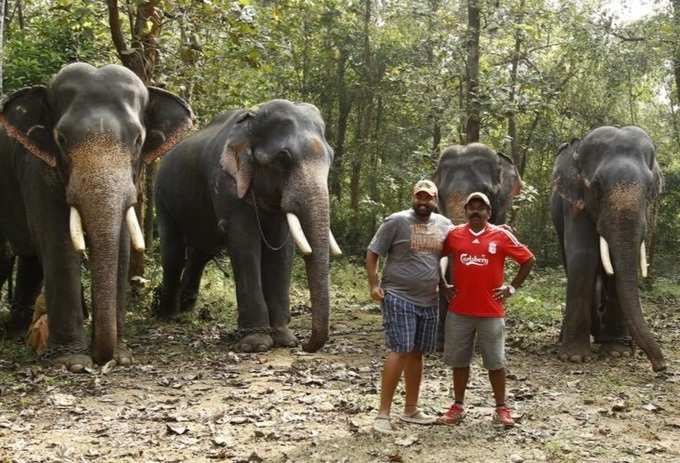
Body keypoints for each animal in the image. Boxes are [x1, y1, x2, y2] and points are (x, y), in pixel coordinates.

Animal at [0, 63, 194, 372]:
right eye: (61, 139)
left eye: (138, 140)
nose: (101, 358)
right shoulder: (38, 170)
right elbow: (59, 245)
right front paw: (74, 361)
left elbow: (122, 247)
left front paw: (121, 356)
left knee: (30, 258)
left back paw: (16, 331)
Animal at [154, 100, 340, 356]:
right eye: (283, 157)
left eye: (331, 156)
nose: (305, 345)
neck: (252, 120)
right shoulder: (225, 183)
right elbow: (244, 242)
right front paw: (256, 343)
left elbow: (282, 250)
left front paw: (284, 339)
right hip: (163, 197)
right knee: (173, 251)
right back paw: (168, 316)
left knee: (201, 252)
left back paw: (186, 308)